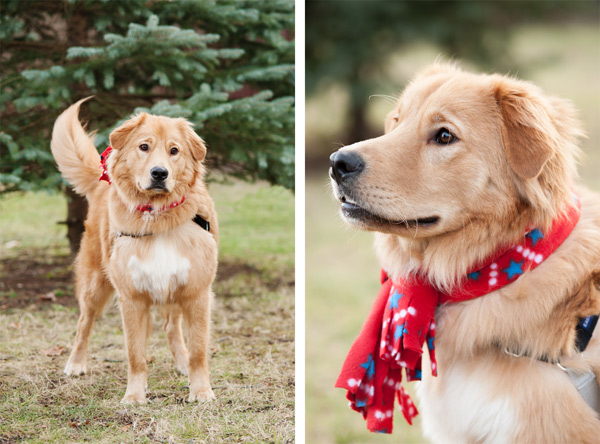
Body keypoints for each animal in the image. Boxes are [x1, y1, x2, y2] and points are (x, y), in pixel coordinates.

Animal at [49, 99, 218, 404]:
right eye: (144, 147)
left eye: (174, 150)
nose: (159, 173)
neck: (158, 216)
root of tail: (102, 181)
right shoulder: (132, 299)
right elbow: (135, 354)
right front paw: (135, 396)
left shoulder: (196, 293)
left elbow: (199, 352)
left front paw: (200, 390)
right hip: (95, 284)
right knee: (84, 322)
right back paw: (76, 363)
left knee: (171, 328)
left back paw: (182, 363)